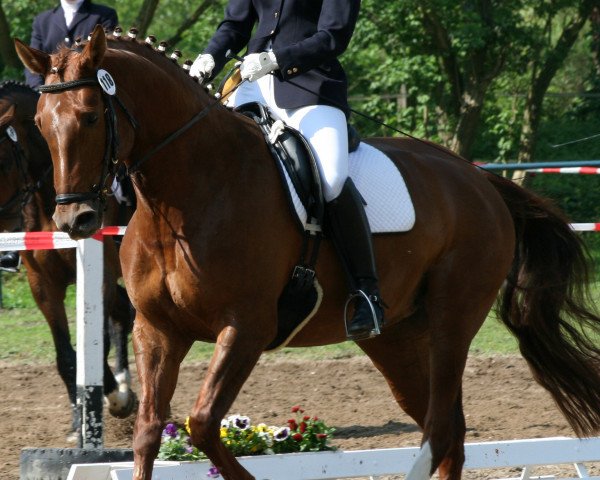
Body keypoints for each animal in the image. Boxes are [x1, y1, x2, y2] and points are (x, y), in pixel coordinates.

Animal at [0, 80, 136, 440]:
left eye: (0, 160)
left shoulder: (99, 275)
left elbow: (96, 345)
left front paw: (112, 400)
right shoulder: (42, 286)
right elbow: (66, 358)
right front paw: (79, 423)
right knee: (123, 312)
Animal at [15, 27, 600, 480]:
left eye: (91, 116)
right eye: (41, 122)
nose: (74, 221)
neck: (185, 195)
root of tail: (480, 181)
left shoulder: (246, 328)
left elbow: (202, 424)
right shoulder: (157, 330)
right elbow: (147, 434)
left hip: (452, 321)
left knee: (438, 428)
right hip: (398, 338)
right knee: (448, 432)